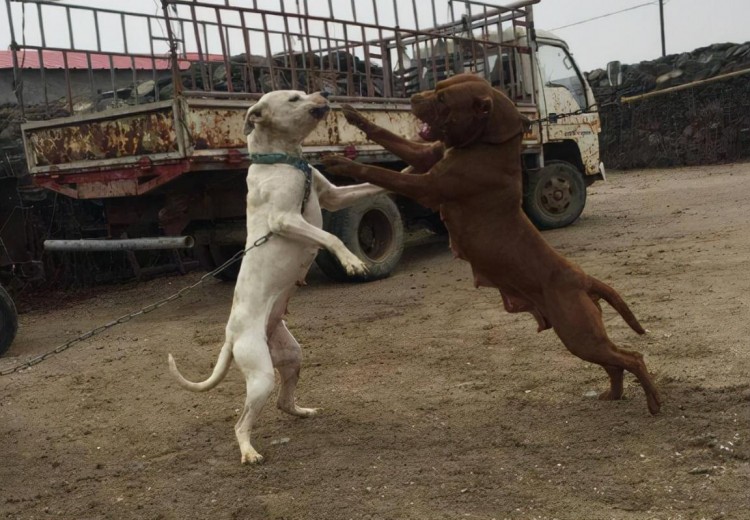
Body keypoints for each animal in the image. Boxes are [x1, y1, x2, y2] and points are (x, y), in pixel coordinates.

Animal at [168, 90, 384, 464]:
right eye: (295, 97)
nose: (325, 93)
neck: (284, 160)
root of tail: (230, 337)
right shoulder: (285, 219)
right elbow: (332, 237)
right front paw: (352, 263)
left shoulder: (333, 196)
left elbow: (370, 184)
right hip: (261, 377)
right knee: (241, 422)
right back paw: (249, 452)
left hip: (291, 356)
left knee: (284, 402)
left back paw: (302, 411)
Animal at [324, 73, 664, 414]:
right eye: (439, 86)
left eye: (443, 99)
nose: (413, 99)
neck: (487, 144)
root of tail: (583, 277)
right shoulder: (426, 156)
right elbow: (386, 134)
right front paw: (354, 117)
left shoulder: (426, 186)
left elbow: (375, 171)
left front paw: (340, 163)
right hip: (581, 338)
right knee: (616, 363)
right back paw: (614, 394)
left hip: (579, 334)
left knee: (633, 357)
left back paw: (653, 402)